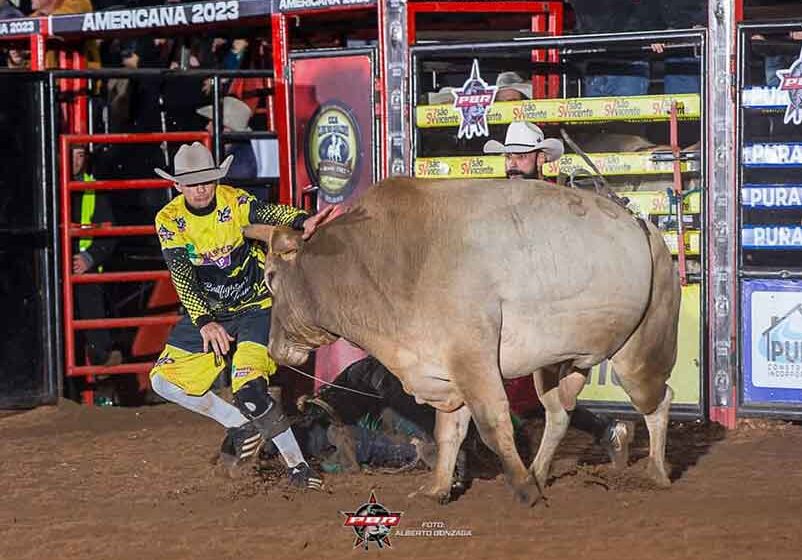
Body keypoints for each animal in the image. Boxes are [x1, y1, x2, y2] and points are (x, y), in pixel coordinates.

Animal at [242, 179, 676, 508]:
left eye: (270, 277)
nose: (275, 349)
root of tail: (641, 225)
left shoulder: (472, 357)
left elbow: (492, 423)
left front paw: (523, 491)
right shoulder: (442, 368)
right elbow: (448, 431)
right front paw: (437, 488)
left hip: (637, 355)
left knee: (658, 400)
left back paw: (656, 473)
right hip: (555, 364)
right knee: (558, 413)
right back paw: (539, 471)